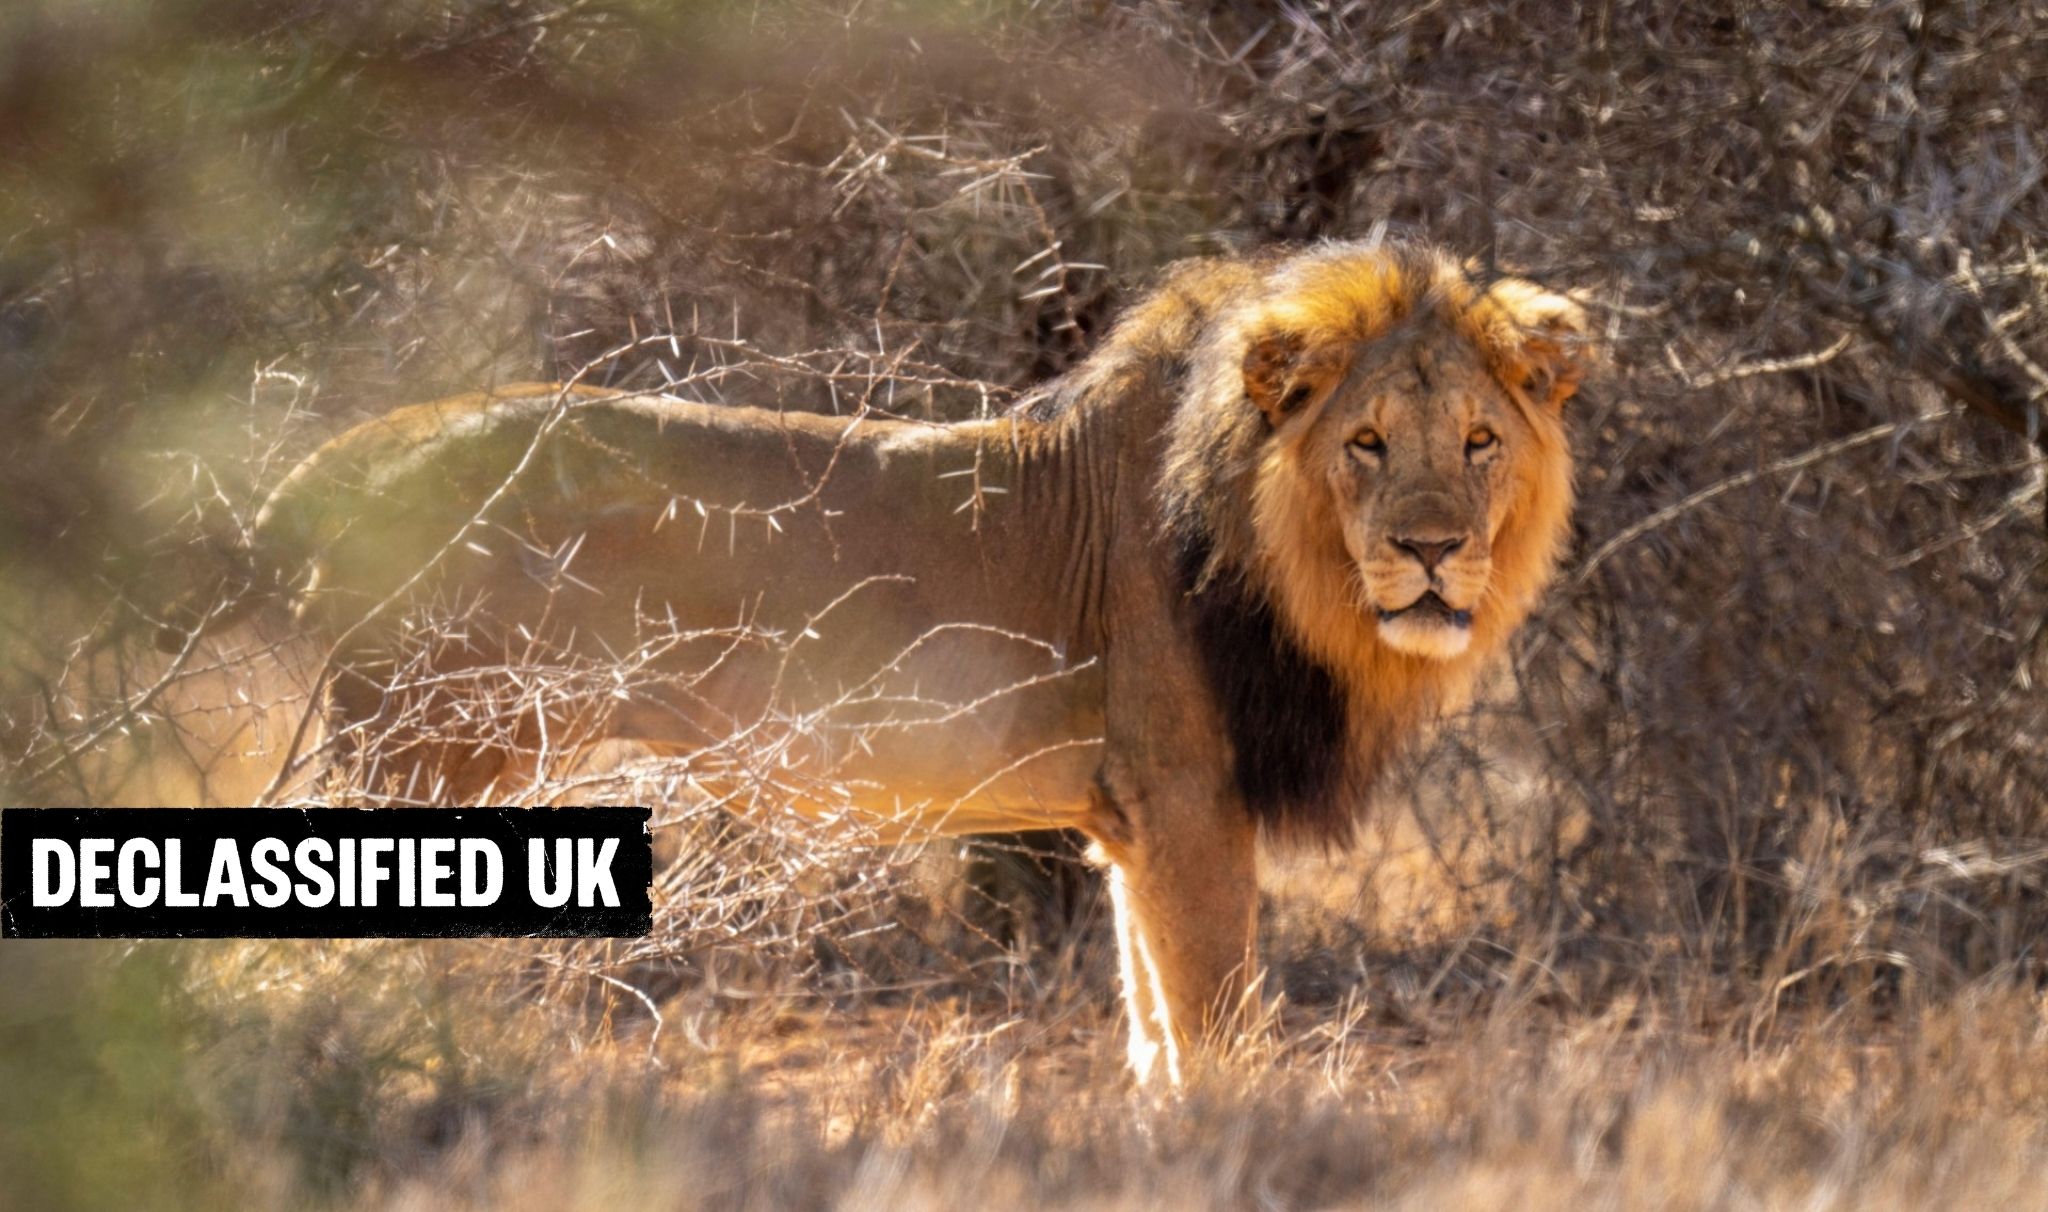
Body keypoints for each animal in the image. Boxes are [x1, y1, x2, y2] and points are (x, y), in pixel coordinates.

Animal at [160, 241, 1588, 1086]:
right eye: (1364, 443)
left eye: (1475, 442)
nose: (1428, 552)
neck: (1285, 559)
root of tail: (344, 460)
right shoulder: (1187, 796)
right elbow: (1214, 1037)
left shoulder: (1134, 823)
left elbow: (1153, 1038)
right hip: (428, 752)